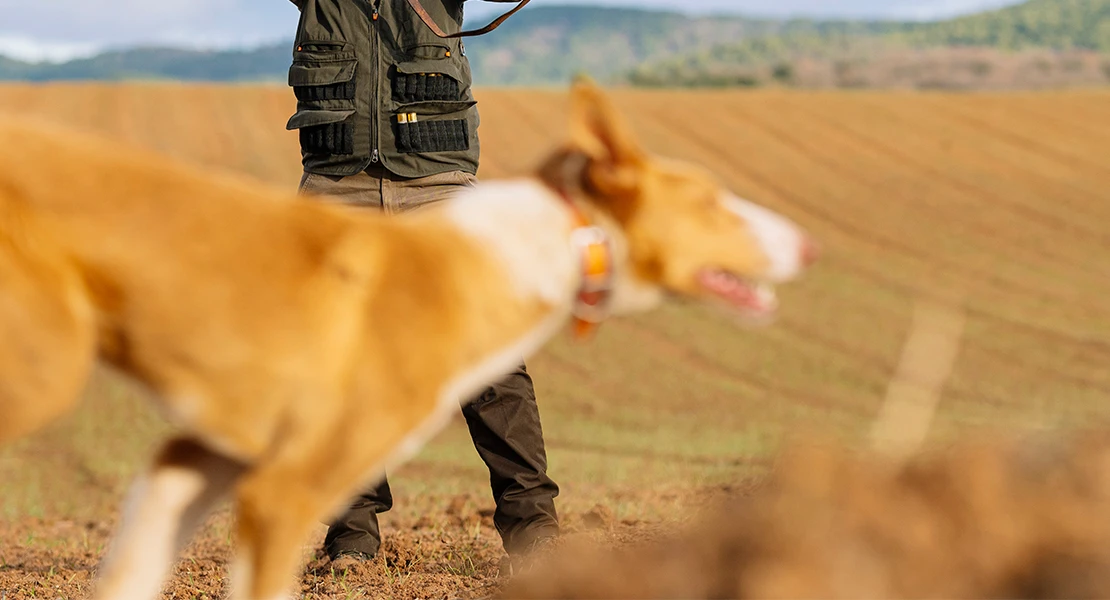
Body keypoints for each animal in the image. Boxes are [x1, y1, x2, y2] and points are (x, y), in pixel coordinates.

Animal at [0, 78, 816, 594]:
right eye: (711, 202)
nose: (807, 245)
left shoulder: (191, 462)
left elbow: (131, 572)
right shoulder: (281, 491)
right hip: (44, 370)